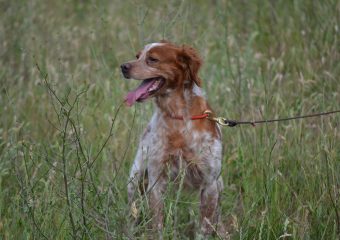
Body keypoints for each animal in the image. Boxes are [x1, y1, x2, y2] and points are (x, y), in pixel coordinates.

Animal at [121, 41, 224, 236]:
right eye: (137, 56)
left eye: (152, 59)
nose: (123, 67)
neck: (178, 117)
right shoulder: (156, 180)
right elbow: (157, 225)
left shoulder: (210, 183)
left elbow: (204, 228)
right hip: (135, 181)